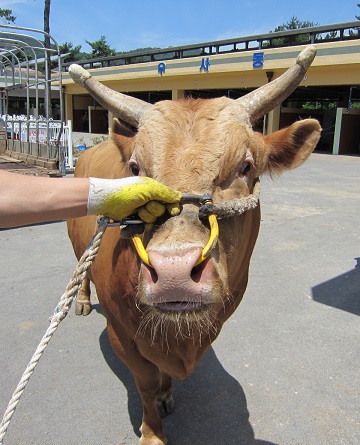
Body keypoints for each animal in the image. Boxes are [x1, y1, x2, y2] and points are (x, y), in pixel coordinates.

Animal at [67, 46, 320, 444]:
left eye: (246, 166)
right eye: (136, 169)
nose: (174, 272)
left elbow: (161, 379)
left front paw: (166, 395)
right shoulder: (122, 337)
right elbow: (145, 382)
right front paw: (152, 431)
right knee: (82, 269)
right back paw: (79, 300)